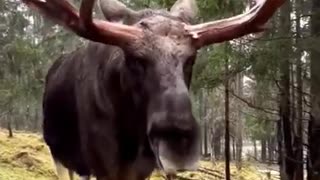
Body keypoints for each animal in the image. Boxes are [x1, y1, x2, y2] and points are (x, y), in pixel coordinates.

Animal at [20, 0, 284, 179]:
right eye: (135, 59)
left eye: (191, 59)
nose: (178, 144)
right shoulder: (103, 165)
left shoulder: (142, 168)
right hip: (59, 152)